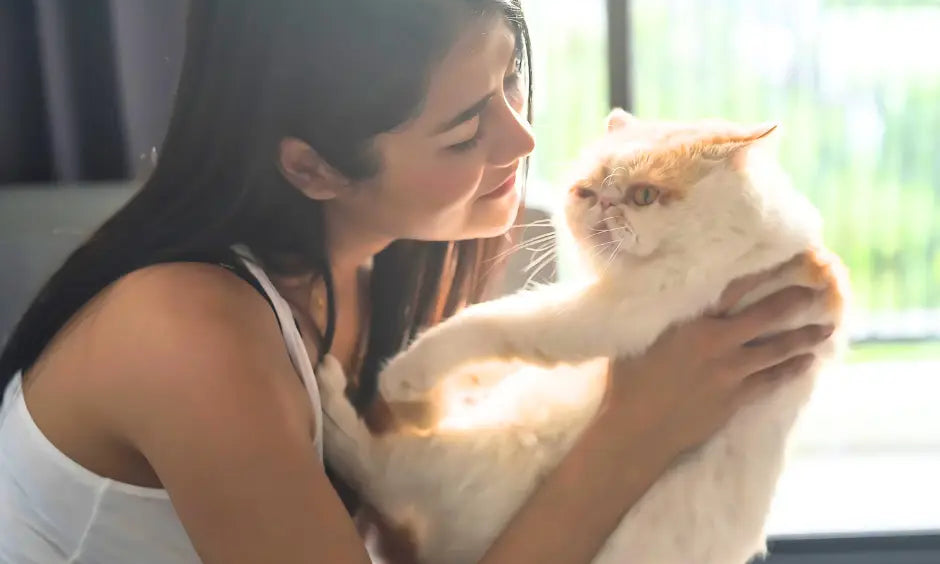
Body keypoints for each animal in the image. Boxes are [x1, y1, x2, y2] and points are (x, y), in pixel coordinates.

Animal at [318, 110, 852, 564]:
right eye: (586, 192)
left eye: (643, 196)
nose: (605, 204)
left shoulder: (609, 314)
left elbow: (492, 321)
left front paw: (405, 374)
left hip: (489, 448)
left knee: (382, 469)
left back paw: (332, 398)